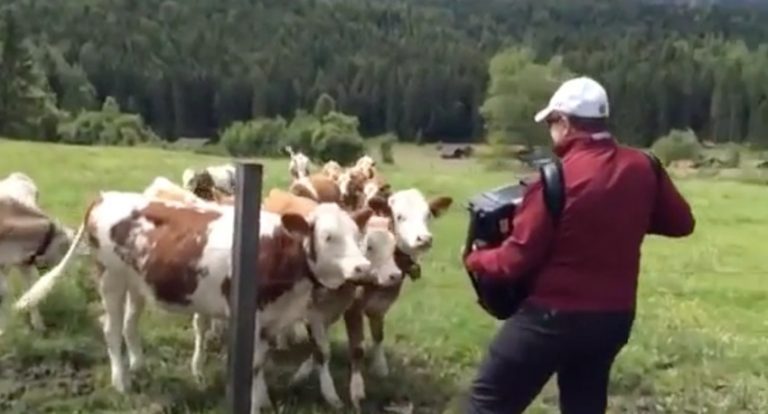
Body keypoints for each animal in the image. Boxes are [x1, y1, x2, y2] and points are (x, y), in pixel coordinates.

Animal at [14, 191, 376, 414]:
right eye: (328, 237)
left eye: (359, 237)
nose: (363, 268)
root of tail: (108, 195)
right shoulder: (251, 314)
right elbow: (252, 364)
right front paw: (255, 404)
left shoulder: (273, 319)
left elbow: (261, 362)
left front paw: (262, 400)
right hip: (110, 278)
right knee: (111, 329)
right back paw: (121, 381)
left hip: (136, 283)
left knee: (130, 324)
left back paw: (138, 364)